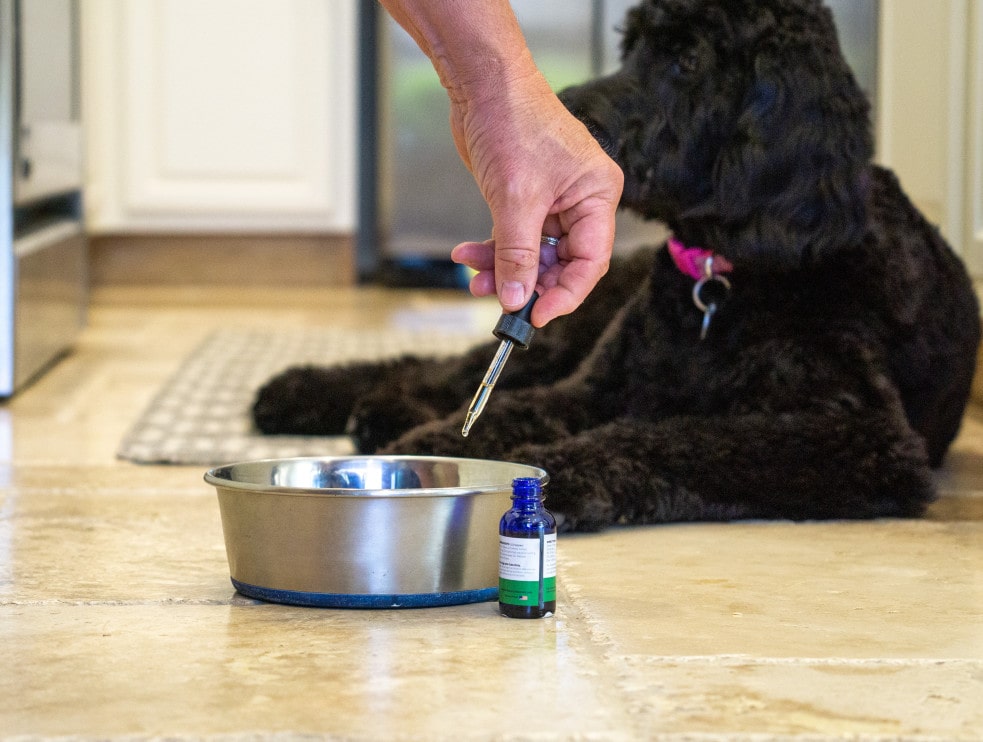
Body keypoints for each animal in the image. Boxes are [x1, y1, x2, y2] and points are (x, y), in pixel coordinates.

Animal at [254, 0, 980, 531]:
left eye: (688, 58)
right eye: (630, 46)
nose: (565, 121)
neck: (722, 280)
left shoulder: (858, 436)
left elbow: (666, 440)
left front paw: (554, 475)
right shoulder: (599, 384)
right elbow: (514, 406)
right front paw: (442, 442)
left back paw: (370, 410)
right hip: (573, 326)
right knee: (446, 368)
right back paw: (314, 395)